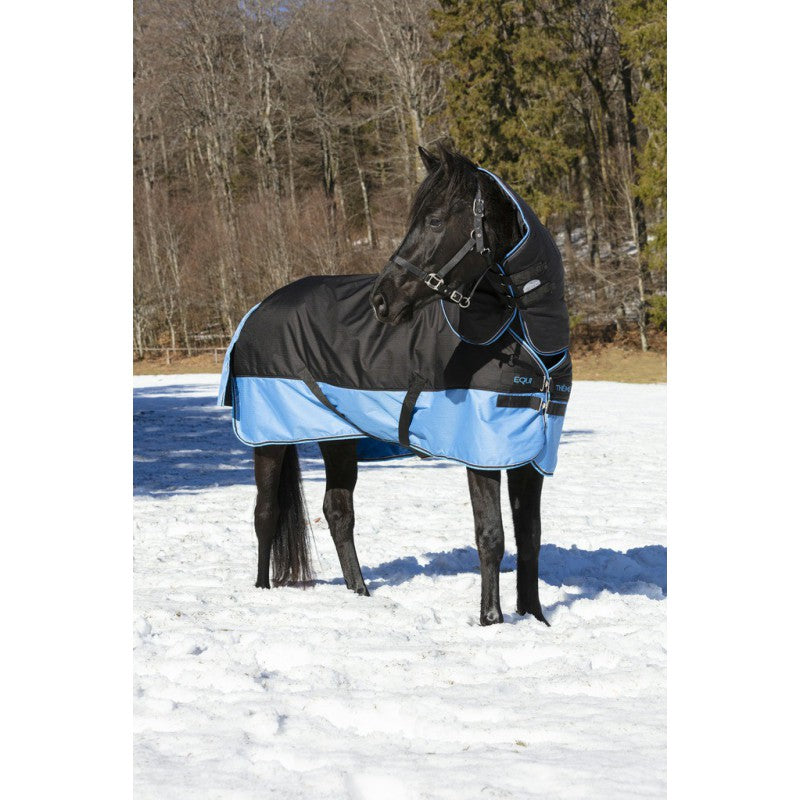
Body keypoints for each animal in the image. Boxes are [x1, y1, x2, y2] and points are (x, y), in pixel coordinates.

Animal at [224, 143, 570, 626]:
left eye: (436, 220)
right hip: (269, 439)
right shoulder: (481, 452)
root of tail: (254, 312)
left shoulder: (529, 453)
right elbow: (492, 536)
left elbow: (529, 537)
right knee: (267, 512)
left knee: (337, 511)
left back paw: (360, 594)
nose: (381, 300)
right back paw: (262, 592)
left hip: (338, 438)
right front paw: (492, 621)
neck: (521, 334)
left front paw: (535, 619)